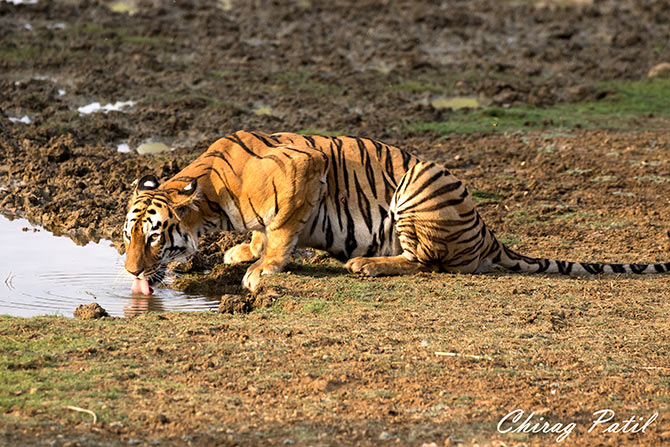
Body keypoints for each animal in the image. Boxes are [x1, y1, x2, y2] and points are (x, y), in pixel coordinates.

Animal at [122, 130, 670, 294]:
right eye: (128, 236)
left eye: (153, 237)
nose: (128, 272)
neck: (212, 197)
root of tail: (487, 232)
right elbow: (262, 233)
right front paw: (241, 252)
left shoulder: (306, 168)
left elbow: (280, 234)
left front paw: (259, 271)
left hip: (419, 187)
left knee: (428, 263)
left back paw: (364, 263)